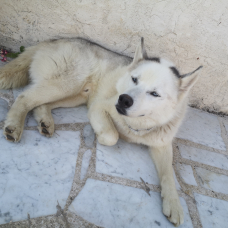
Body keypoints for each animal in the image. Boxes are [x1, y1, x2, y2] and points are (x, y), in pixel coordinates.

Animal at [0, 37, 201, 226]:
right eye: (134, 79)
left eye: (155, 93)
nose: (124, 100)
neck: (138, 125)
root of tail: (53, 40)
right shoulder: (99, 107)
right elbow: (113, 136)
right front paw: (101, 135)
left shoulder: (162, 144)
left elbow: (169, 175)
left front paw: (174, 204)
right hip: (67, 86)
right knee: (25, 97)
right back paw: (14, 126)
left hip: (76, 95)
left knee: (40, 105)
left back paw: (45, 121)